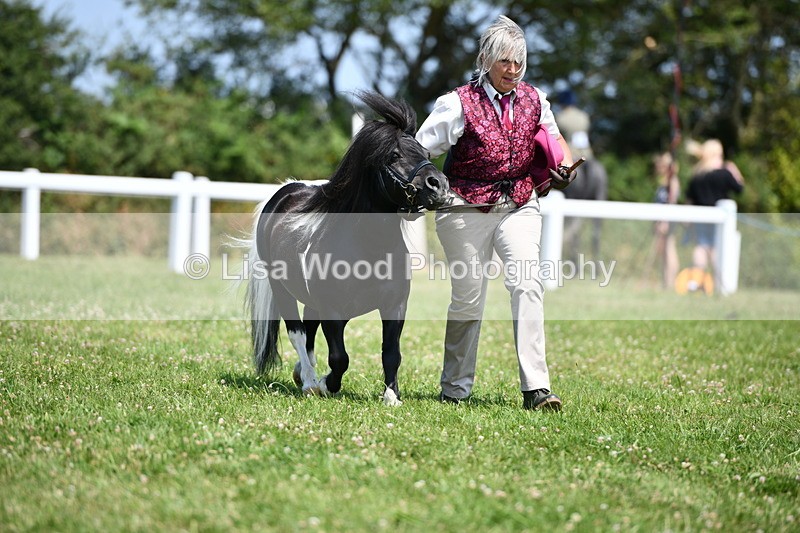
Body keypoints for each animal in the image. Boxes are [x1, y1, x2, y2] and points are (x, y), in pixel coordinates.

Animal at [245, 91, 449, 406]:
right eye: (394, 155)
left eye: (426, 155)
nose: (439, 186)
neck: (369, 249)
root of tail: (285, 191)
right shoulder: (333, 311)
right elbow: (340, 357)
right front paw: (327, 384)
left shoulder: (395, 306)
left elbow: (392, 353)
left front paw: (392, 396)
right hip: (281, 290)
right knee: (297, 332)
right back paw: (309, 382)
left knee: (308, 331)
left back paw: (303, 373)